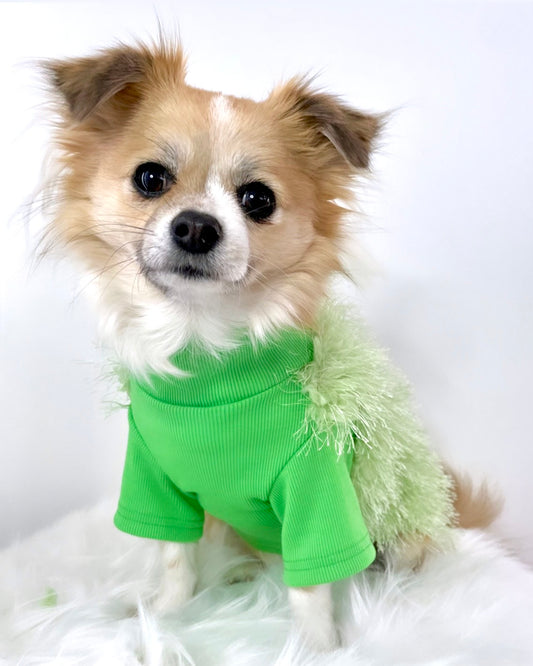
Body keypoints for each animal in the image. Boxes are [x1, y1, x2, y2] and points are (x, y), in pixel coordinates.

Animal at [41, 40, 498, 648]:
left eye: (257, 199)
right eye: (150, 178)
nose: (196, 227)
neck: (208, 365)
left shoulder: (317, 492)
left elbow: (310, 588)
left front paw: (318, 649)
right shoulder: (157, 483)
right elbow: (175, 562)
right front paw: (162, 618)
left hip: (403, 521)